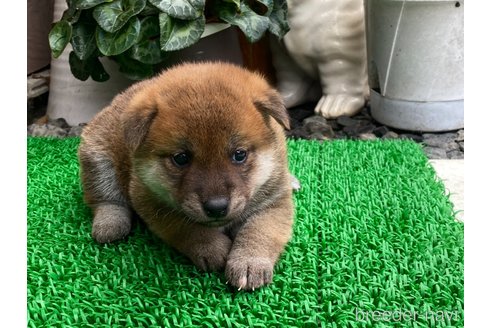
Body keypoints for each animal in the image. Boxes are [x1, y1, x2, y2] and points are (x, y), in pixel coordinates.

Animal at [79, 60, 294, 290]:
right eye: (181, 158)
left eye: (239, 154)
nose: (217, 207)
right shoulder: (153, 203)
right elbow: (188, 229)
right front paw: (211, 247)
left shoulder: (275, 201)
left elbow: (259, 231)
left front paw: (249, 262)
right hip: (97, 159)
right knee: (105, 199)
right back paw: (110, 223)